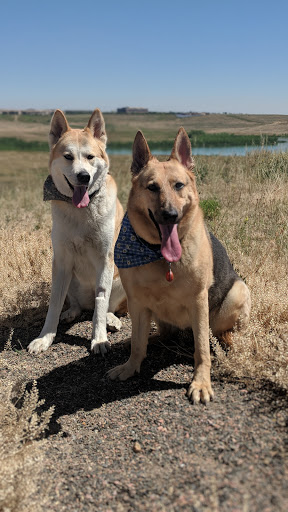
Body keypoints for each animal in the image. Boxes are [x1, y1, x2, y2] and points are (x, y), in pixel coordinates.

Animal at [27, 109, 125, 354]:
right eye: (68, 156)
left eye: (90, 157)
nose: (83, 176)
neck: (81, 210)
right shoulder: (61, 261)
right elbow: (54, 303)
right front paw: (45, 338)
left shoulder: (105, 259)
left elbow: (102, 299)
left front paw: (99, 339)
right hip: (69, 278)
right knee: (77, 305)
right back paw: (71, 312)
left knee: (107, 306)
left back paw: (111, 319)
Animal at [108, 129, 250, 404]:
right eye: (152, 187)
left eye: (179, 185)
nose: (170, 215)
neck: (158, 255)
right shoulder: (137, 303)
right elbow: (138, 343)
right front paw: (131, 366)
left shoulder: (198, 301)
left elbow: (201, 349)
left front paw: (201, 382)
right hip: (156, 314)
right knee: (161, 335)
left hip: (236, 294)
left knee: (219, 332)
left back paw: (227, 341)